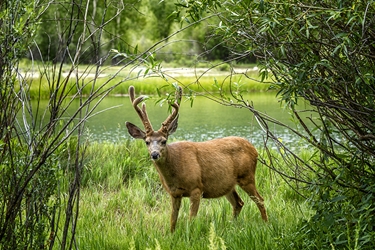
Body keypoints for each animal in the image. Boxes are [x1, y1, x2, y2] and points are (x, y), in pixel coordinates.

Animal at [127, 86, 270, 232]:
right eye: (147, 142)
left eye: (164, 141)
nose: (155, 154)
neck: (175, 172)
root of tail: (255, 149)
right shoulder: (174, 193)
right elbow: (172, 221)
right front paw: (171, 234)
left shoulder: (196, 188)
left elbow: (191, 220)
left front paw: (190, 234)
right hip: (228, 184)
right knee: (239, 203)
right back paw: (232, 226)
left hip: (247, 176)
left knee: (260, 200)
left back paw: (265, 224)